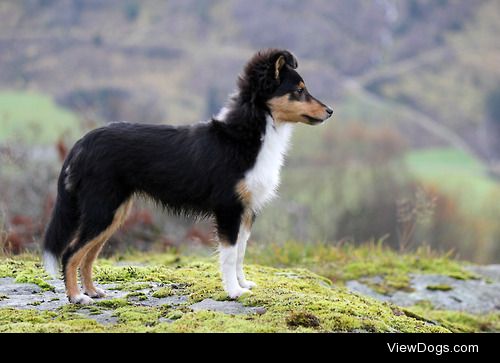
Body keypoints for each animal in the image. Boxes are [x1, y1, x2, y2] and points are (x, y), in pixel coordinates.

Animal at [43, 48, 332, 304]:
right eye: (299, 90)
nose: (330, 111)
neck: (249, 136)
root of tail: (81, 143)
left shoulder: (247, 210)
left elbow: (241, 252)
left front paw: (243, 283)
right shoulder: (228, 209)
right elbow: (229, 255)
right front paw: (234, 292)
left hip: (113, 212)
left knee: (88, 254)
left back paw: (93, 291)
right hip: (102, 209)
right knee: (70, 252)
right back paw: (76, 297)